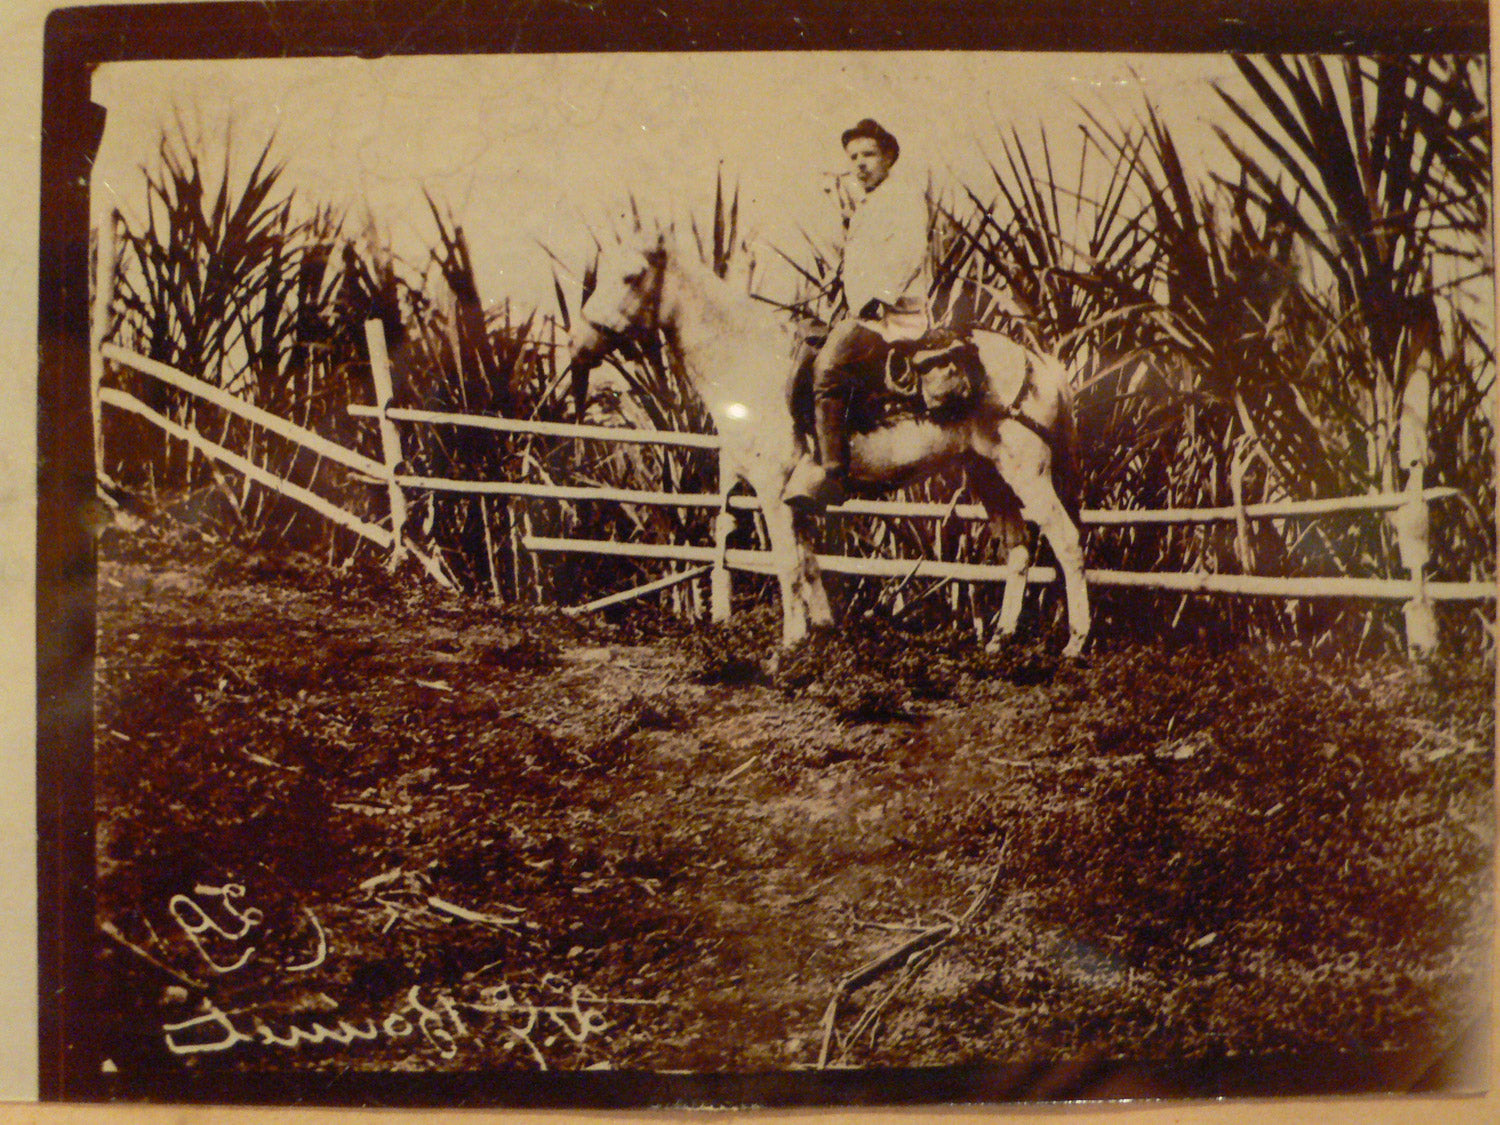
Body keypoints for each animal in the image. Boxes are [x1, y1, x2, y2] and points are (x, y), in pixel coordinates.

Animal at [564, 234, 1092, 657]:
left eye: (631, 276)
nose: (577, 343)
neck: (750, 362)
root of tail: (1037, 360)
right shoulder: (790, 496)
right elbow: (809, 561)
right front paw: (819, 629)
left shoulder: (773, 491)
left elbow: (788, 564)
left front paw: (790, 643)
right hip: (988, 475)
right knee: (1018, 550)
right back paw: (1000, 639)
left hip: (1027, 474)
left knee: (1066, 542)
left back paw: (1076, 643)